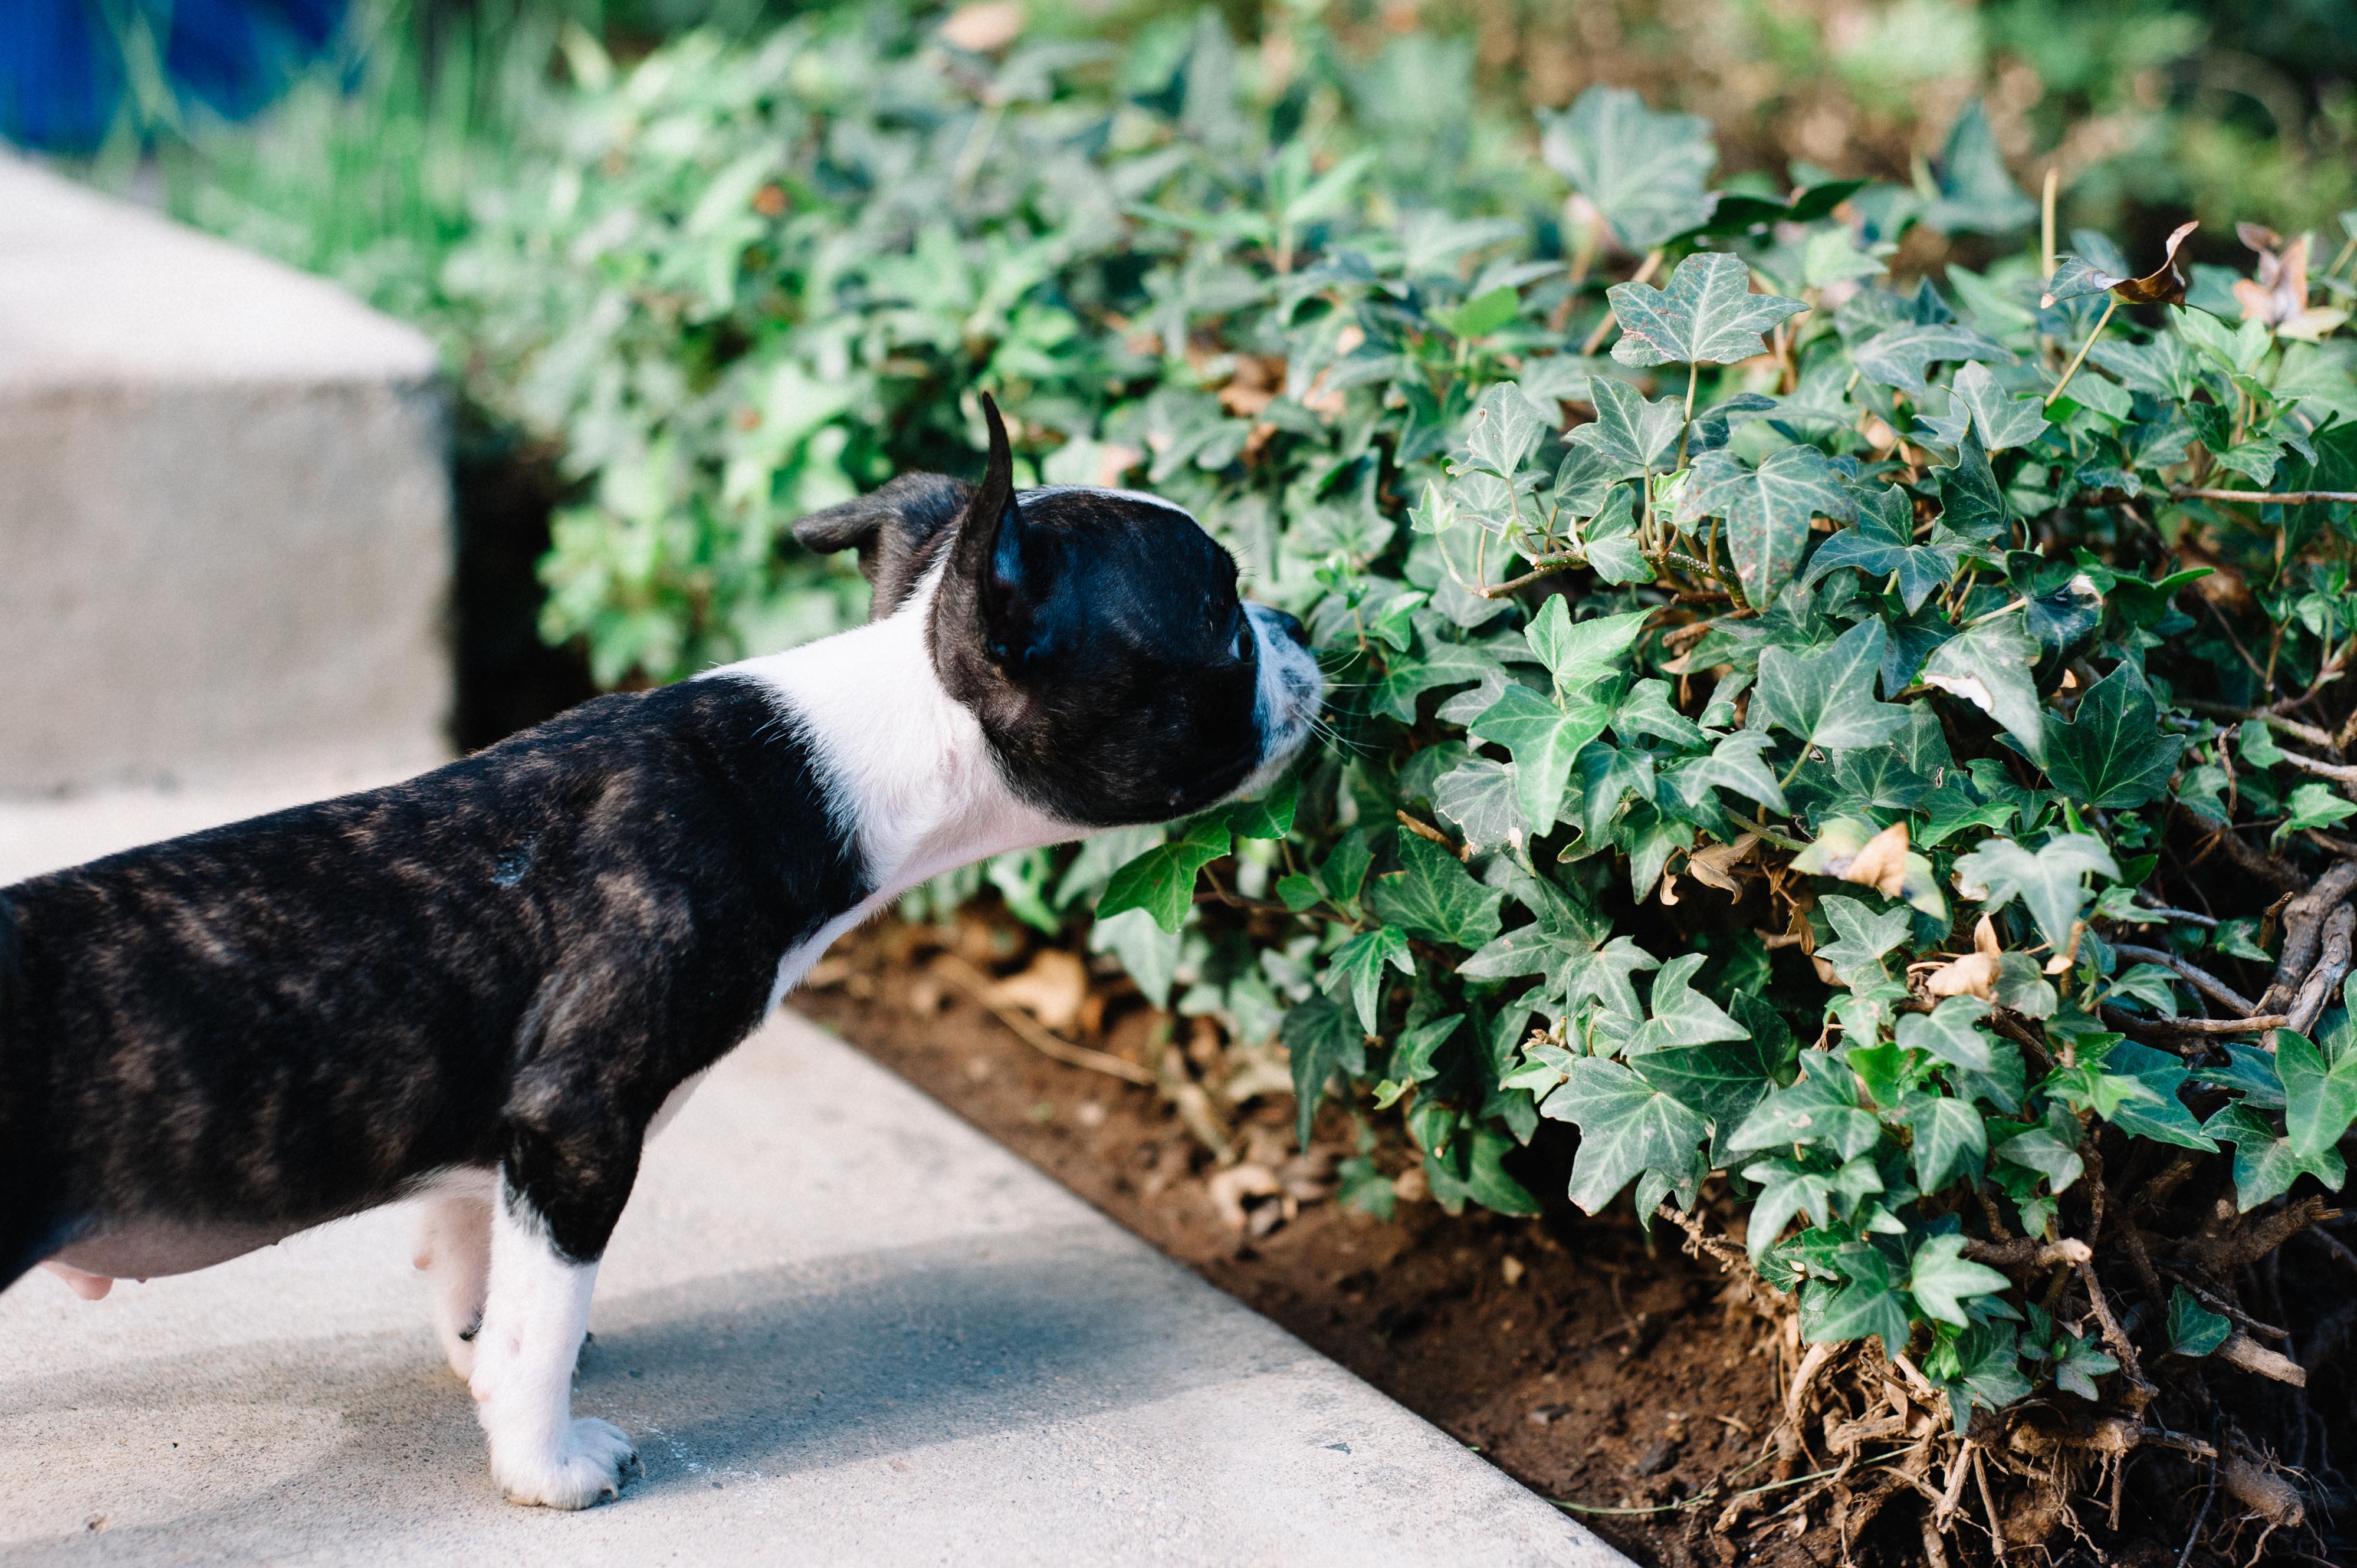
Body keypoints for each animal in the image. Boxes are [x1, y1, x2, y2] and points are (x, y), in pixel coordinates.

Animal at [0, 398, 1329, 1509]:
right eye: (1222, 620)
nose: (1302, 624)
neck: (848, 751)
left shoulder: (501, 1139)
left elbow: (484, 1271)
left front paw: (483, 1364)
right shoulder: (576, 1119)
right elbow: (542, 1318)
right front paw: (545, 1463)